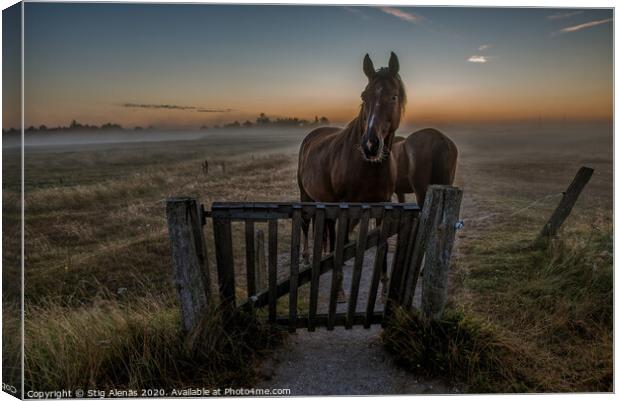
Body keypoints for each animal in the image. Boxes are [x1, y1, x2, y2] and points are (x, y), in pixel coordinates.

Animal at [296, 50, 406, 300]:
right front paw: (340, 291)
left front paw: (384, 288)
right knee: (306, 224)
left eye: (394, 97)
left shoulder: (382, 205)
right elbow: (342, 243)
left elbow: (382, 245)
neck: (368, 167)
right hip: (305, 195)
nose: (370, 145)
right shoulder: (346, 205)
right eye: (364, 96)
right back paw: (306, 258)